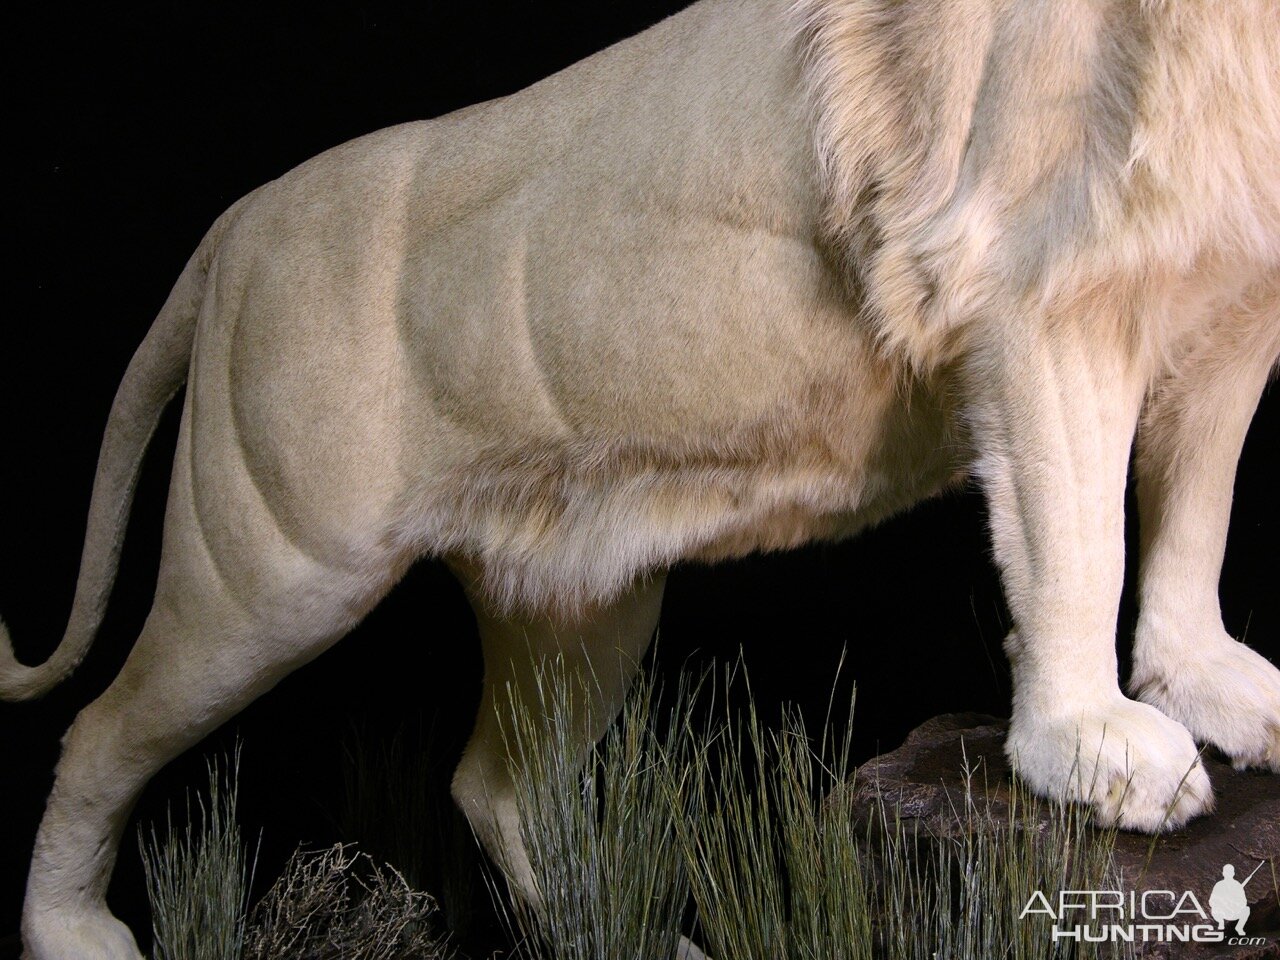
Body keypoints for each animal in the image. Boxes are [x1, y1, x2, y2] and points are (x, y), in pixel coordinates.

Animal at [2, 1, 1280, 960]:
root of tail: (234, 228)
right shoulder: (1040, 289)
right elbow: (1077, 540)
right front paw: (1091, 747)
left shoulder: (1229, 299)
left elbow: (1197, 514)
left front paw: (1205, 685)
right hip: (271, 574)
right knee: (100, 732)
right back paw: (72, 935)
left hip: (580, 604)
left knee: (499, 788)